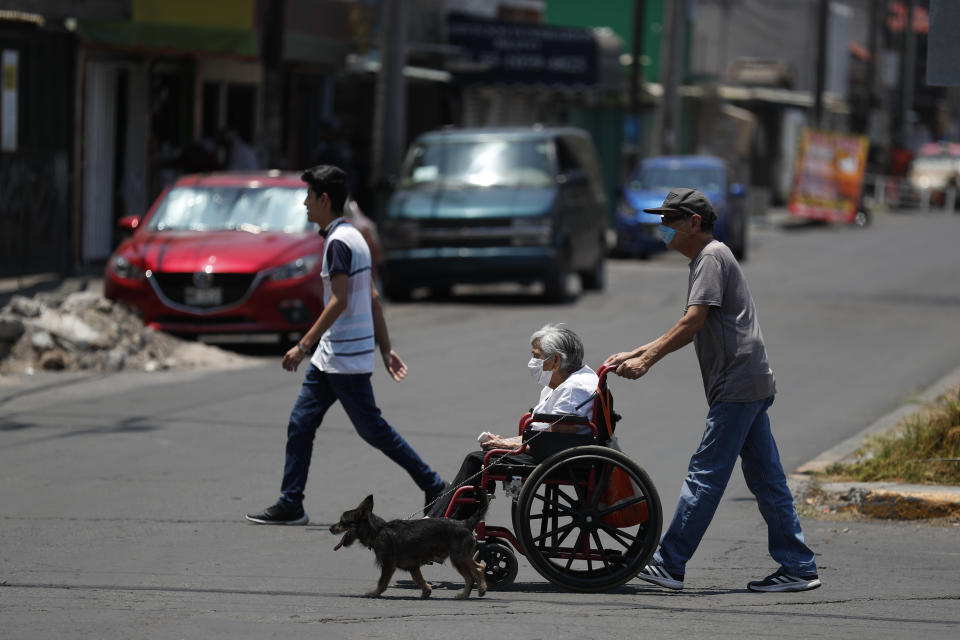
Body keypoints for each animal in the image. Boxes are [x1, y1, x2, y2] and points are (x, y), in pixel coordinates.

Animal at [332, 492, 492, 596]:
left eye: (342, 522)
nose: (330, 528)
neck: (378, 530)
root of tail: (465, 523)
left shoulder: (388, 565)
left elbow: (382, 582)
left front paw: (374, 593)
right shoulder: (413, 567)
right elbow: (419, 579)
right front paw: (427, 591)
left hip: (458, 558)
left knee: (470, 577)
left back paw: (464, 595)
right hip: (464, 557)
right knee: (480, 567)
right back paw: (482, 589)